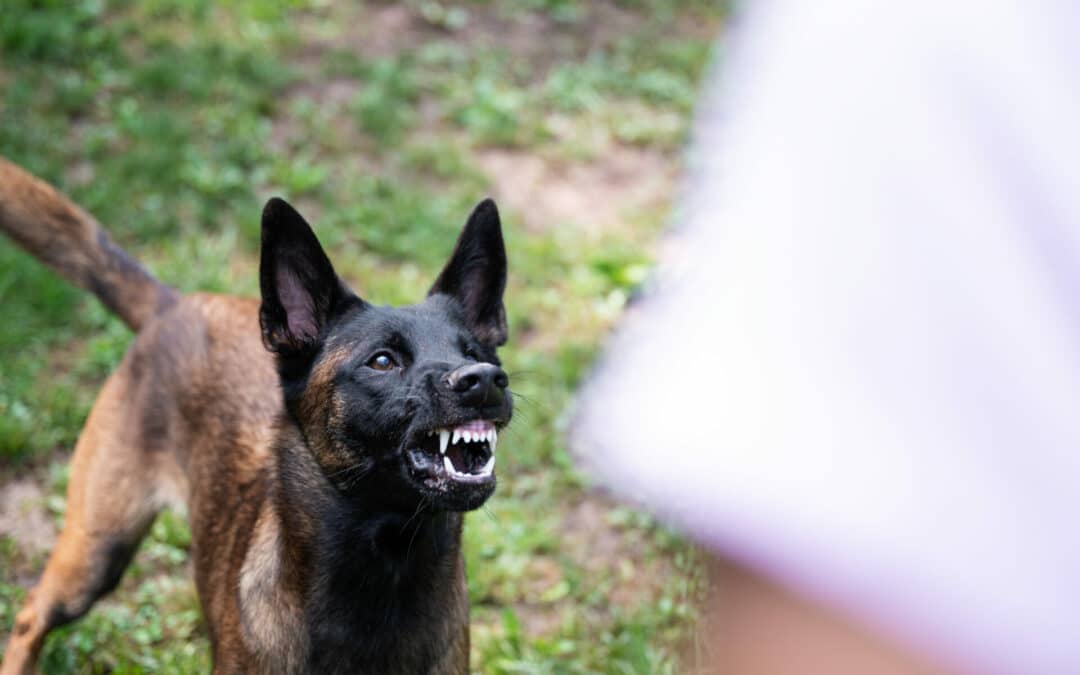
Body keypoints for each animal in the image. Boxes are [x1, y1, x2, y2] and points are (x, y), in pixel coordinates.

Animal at [0, 155, 511, 669]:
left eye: (473, 351)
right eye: (383, 361)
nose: (485, 379)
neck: (387, 567)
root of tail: (174, 304)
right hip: (97, 548)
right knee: (31, 614)